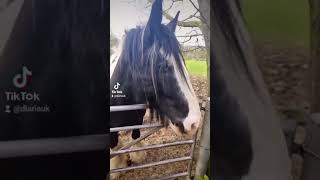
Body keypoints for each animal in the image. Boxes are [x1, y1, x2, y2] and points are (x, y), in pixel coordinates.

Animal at [110, 0, 200, 177]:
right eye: (162, 66)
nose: (195, 123)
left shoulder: (137, 118)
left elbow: (135, 134)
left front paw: (136, 155)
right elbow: (114, 145)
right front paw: (116, 166)